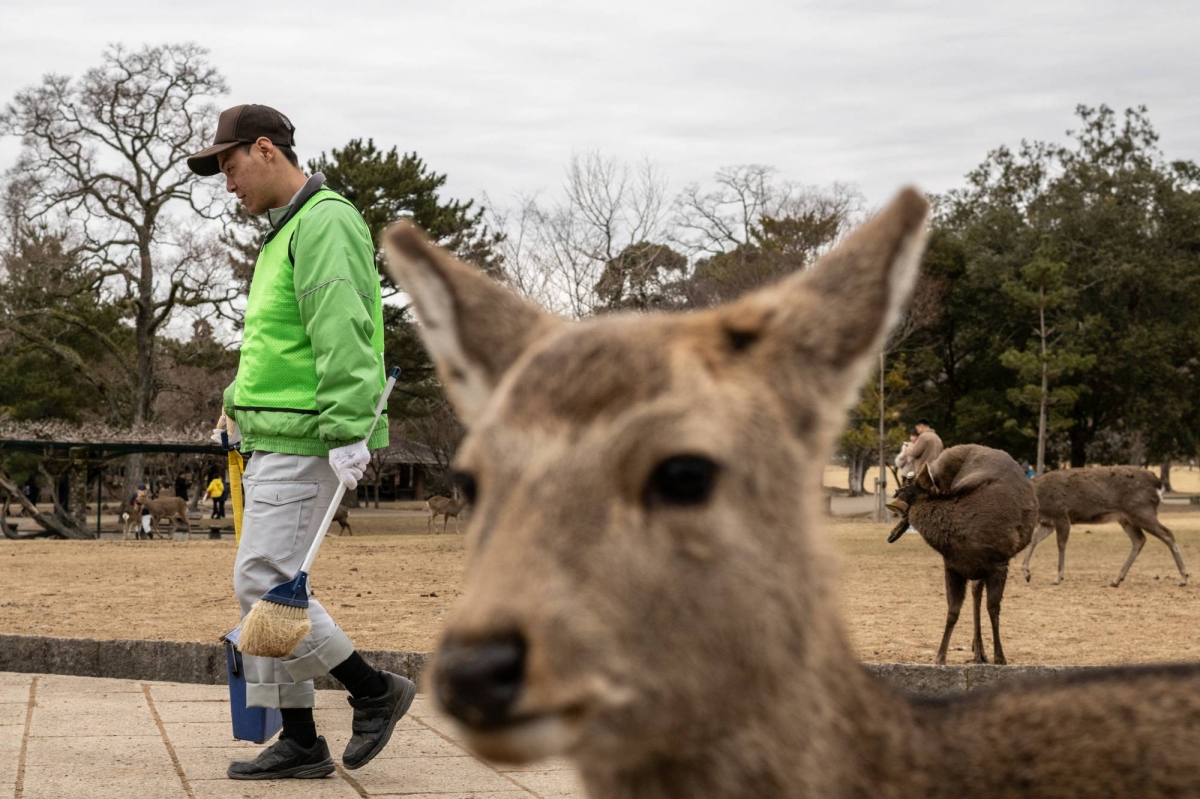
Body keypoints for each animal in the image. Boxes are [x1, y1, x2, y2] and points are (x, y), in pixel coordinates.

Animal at [885, 445, 1037, 665]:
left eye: (907, 487)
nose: (895, 492)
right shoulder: (952, 566)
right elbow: (952, 611)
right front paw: (940, 657)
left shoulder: (999, 563)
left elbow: (993, 608)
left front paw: (1000, 657)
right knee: (975, 591)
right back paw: (977, 650)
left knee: (978, 593)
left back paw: (981, 651)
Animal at [1021, 466, 1188, 588]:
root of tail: (1157, 484)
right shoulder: (1047, 522)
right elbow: (1034, 540)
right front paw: (1026, 573)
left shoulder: (1061, 514)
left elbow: (1061, 544)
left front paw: (1058, 578)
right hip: (1126, 518)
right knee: (1139, 539)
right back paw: (1116, 580)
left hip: (1142, 511)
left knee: (1167, 533)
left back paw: (1184, 578)